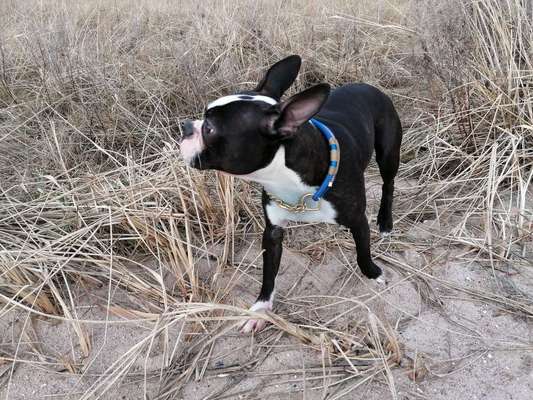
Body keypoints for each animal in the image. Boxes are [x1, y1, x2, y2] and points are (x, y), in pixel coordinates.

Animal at [178, 54, 400, 332]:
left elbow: (362, 253)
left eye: (209, 129)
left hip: (388, 154)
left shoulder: (358, 220)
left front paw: (373, 273)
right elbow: (268, 274)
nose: (186, 125)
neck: (289, 181)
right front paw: (260, 310)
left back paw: (385, 221)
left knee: (388, 184)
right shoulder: (272, 232)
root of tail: (368, 86)